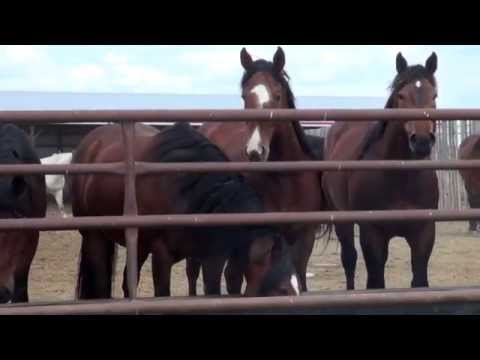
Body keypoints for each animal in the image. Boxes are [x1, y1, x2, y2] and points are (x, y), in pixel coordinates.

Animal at [71, 122, 298, 300]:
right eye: (283, 290)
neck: (187, 191)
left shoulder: (211, 257)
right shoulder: (162, 256)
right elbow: (163, 293)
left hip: (138, 244)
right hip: (94, 237)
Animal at [186, 47, 324, 296]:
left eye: (277, 95)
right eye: (244, 97)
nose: (255, 150)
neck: (287, 179)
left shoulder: (304, 237)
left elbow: (300, 278)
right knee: (196, 270)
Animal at [322, 52, 438, 290]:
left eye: (434, 95)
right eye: (401, 96)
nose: (422, 141)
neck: (400, 177)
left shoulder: (424, 233)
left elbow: (419, 281)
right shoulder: (372, 233)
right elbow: (376, 282)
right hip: (341, 219)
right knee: (349, 258)